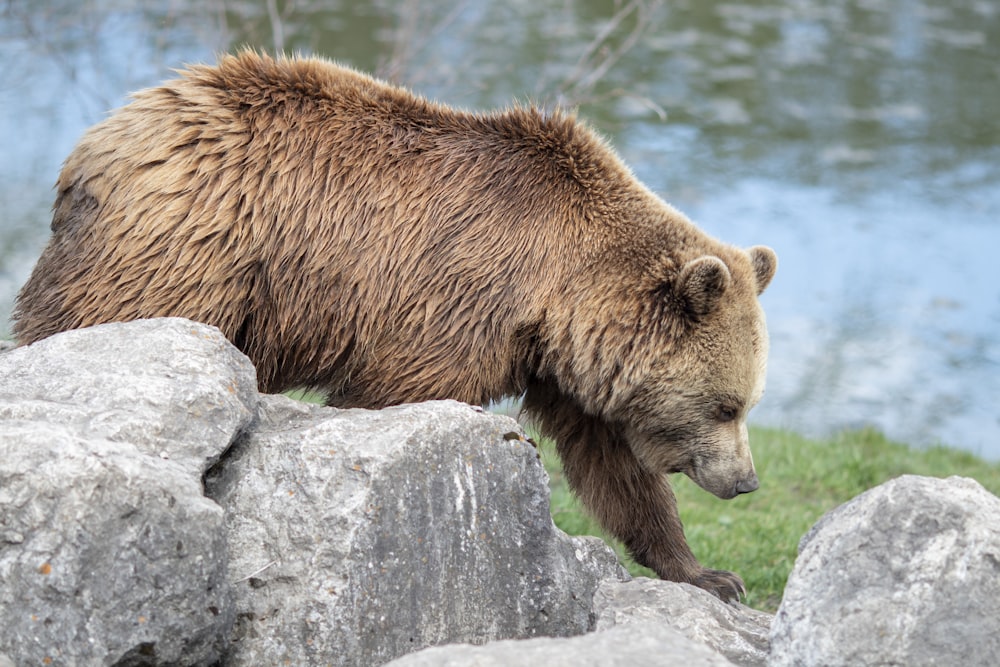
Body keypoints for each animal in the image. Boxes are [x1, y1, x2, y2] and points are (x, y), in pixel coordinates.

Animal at [17, 52, 780, 604]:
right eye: (726, 404)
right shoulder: (455, 304)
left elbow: (616, 466)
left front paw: (708, 573)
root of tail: (107, 135)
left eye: (747, 402)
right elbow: (393, 397)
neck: (558, 290)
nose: (745, 480)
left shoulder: (565, 367)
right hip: (188, 252)